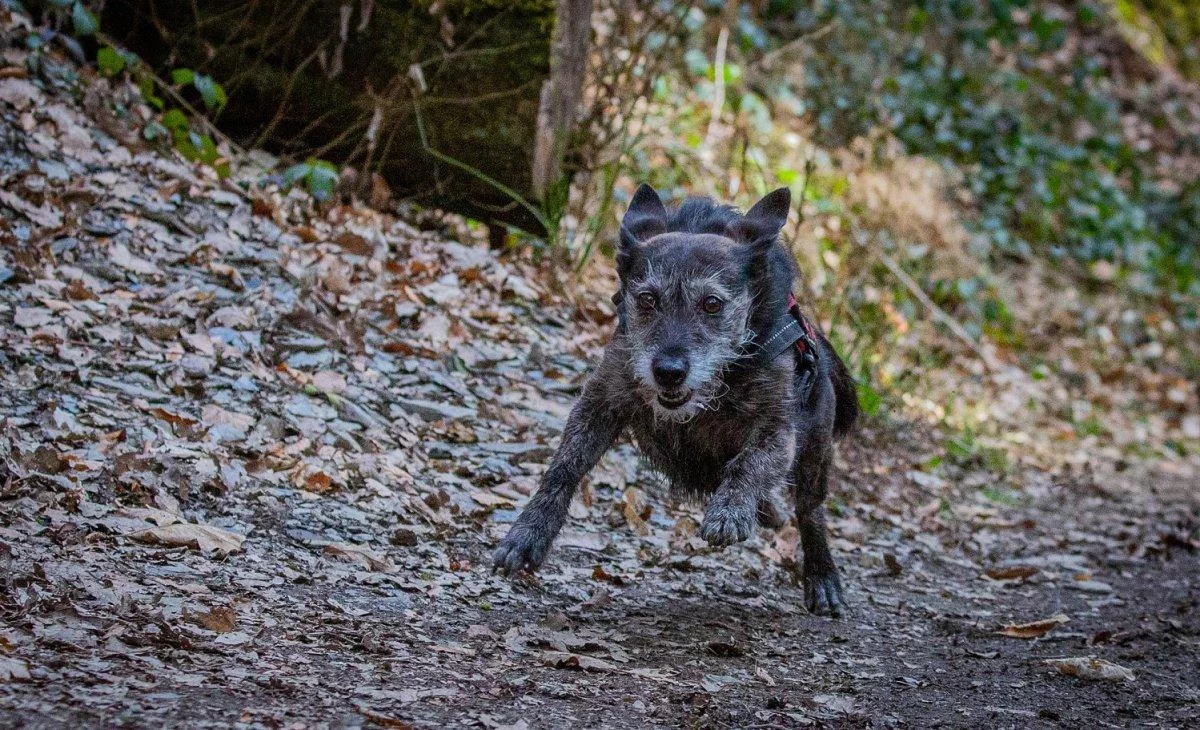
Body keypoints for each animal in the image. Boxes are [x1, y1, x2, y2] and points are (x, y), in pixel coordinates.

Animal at [492, 183, 859, 614]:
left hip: (816, 449)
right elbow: (564, 467)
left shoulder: (777, 429)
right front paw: (529, 532)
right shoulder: (602, 399)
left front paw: (731, 510)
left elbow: (749, 464)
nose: (668, 371)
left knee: (809, 509)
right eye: (648, 299)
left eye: (712, 303)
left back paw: (821, 575)